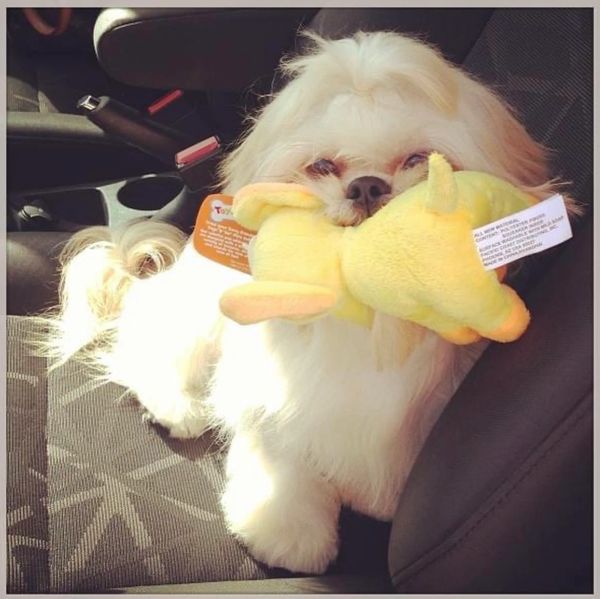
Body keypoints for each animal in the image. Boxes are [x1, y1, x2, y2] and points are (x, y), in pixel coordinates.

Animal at [45, 31, 570, 574]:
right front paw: (286, 530)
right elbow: (284, 462)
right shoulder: (273, 398)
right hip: (196, 316)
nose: (366, 185)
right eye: (320, 166)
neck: (365, 317)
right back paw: (177, 405)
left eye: (419, 162)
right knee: (149, 346)